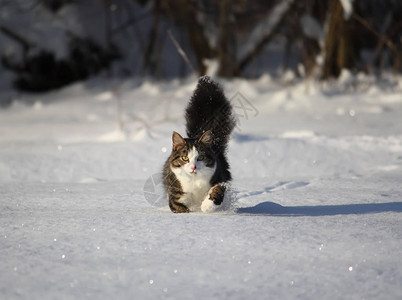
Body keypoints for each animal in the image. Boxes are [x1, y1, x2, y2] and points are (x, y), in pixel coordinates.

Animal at [163, 77, 236, 213]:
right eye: (184, 158)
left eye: (201, 157)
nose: (193, 167)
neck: (194, 181)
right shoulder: (176, 194)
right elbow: (180, 207)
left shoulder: (220, 177)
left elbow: (218, 189)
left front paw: (207, 205)